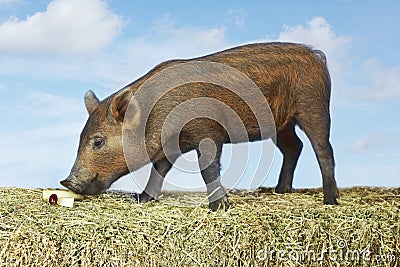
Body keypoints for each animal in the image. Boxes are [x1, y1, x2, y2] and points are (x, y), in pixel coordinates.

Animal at [61, 42, 340, 210]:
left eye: (98, 141)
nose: (66, 182)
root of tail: (316, 55)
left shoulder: (208, 132)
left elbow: (208, 168)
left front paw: (219, 207)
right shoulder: (170, 146)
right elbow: (158, 170)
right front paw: (141, 199)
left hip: (313, 106)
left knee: (323, 149)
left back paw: (330, 201)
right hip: (281, 125)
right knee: (294, 147)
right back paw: (279, 192)